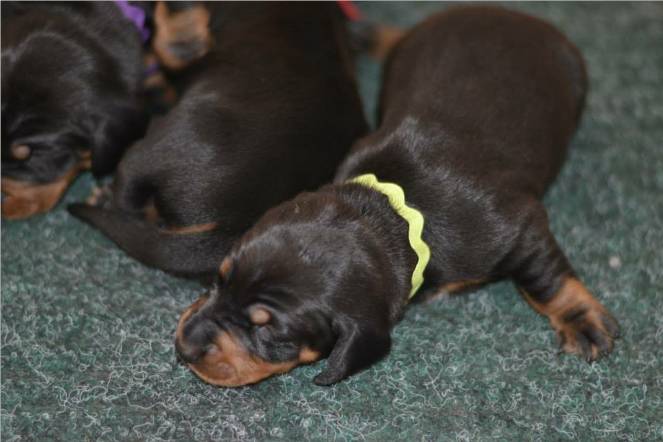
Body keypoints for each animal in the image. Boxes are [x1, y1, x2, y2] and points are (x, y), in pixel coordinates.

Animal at [174, 6, 620, 386]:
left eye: (268, 332)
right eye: (219, 279)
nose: (185, 346)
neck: (396, 213)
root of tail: (516, 16)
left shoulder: (520, 227)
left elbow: (545, 278)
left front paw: (582, 321)